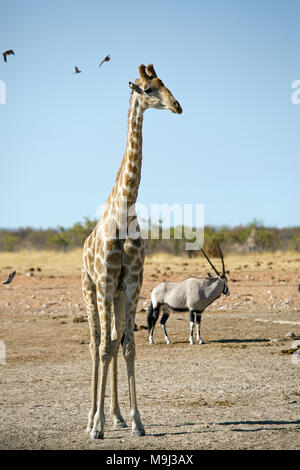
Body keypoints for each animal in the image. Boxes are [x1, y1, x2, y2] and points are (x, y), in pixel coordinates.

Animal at [81, 64, 182, 438]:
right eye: (147, 89)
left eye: (165, 84)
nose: (177, 105)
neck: (125, 207)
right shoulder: (106, 281)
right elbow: (104, 347)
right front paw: (96, 425)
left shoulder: (131, 284)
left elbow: (127, 346)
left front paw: (136, 420)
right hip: (90, 288)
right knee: (96, 343)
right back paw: (92, 417)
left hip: (113, 293)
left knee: (112, 341)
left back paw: (116, 416)